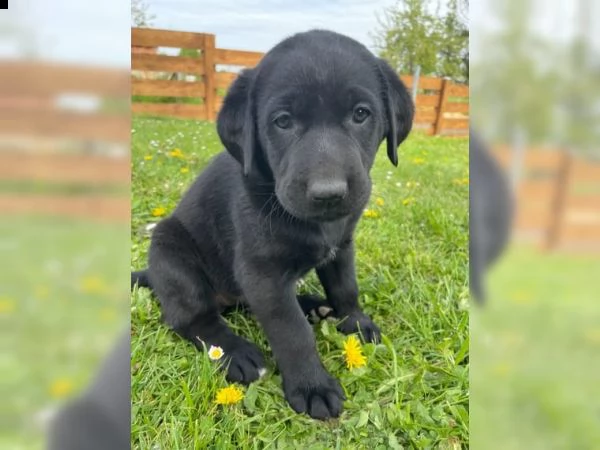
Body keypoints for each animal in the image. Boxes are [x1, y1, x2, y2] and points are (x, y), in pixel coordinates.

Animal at [131, 29, 412, 420]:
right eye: (282, 121)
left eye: (361, 114)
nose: (328, 193)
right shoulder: (261, 274)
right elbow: (292, 332)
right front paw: (312, 386)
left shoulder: (342, 247)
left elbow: (346, 287)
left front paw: (354, 322)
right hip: (170, 250)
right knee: (189, 318)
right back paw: (236, 352)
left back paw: (314, 305)